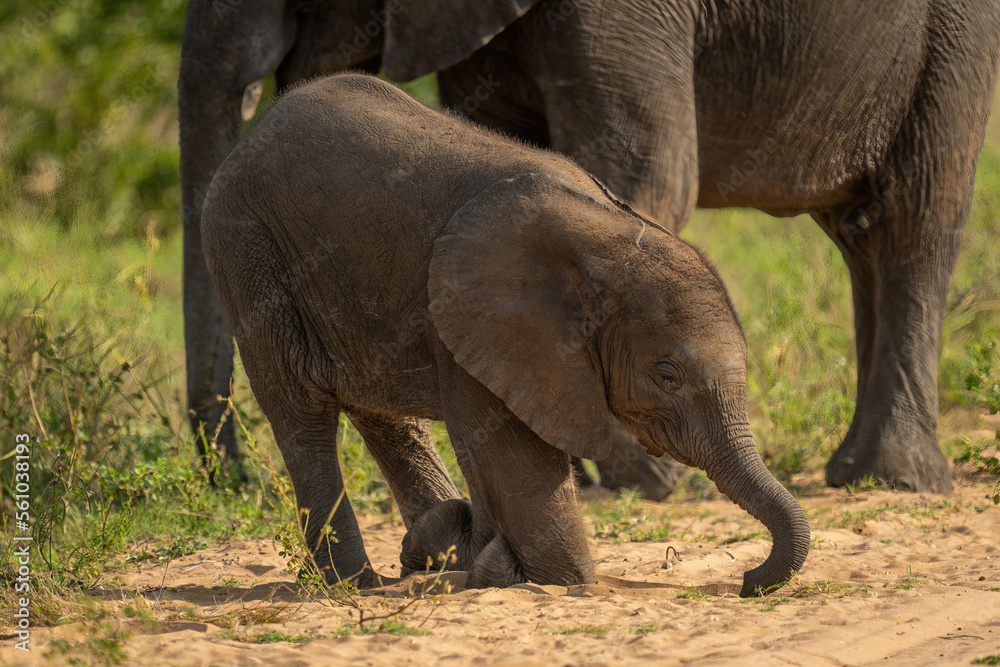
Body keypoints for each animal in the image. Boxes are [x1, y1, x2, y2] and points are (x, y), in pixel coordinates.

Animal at [179, 0, 1000, 494]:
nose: (236, 481)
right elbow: (509, 145)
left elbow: (643, 165)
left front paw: (636, 479)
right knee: (863, 235)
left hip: (954, 34)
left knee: (913, 214)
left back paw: (891, 481)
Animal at [200, 74, 810, 596]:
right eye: (668, 376)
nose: (746, 580)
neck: (608, 236)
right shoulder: (486, 324)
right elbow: (519, 459)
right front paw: (521, 573)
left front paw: (479, 560)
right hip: (249, 251)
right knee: (302, 413)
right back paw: (357, 584)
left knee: (383, 413)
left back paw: (435, 547)